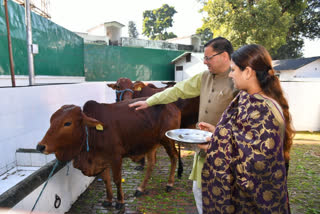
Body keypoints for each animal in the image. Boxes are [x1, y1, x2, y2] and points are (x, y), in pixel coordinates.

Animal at [36, 98, 181, 209]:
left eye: (67, 123)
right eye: (51, 120)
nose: (40, 146)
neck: (93, 133)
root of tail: (173, 106)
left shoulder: (116, 157)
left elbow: (116, 179)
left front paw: (120, 202)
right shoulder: (101, 159)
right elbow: (106, 179)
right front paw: (108, 200)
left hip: (168, 140)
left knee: (174, 157)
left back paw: (170, 184)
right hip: (150, 144)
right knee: (151, 164)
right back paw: (140, 189)